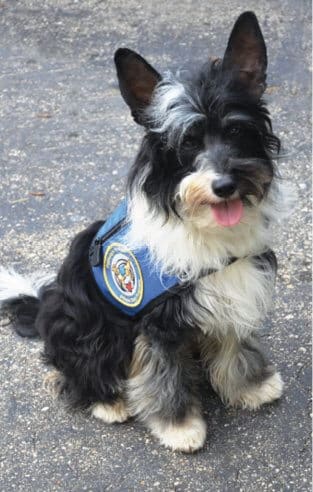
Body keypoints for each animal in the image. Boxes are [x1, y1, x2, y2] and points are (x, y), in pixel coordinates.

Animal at [0, 11, 288, 452]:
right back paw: (108, 402)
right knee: (77, 371)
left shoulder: (232, 291)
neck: (201, 226)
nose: (225, 185)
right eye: (186, 143)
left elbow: (235, 346)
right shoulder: (158, 322)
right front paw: (179, 426)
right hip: (89, 326)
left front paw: (251, 386)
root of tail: (45, 301)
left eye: (237, 131)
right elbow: (163, 375)